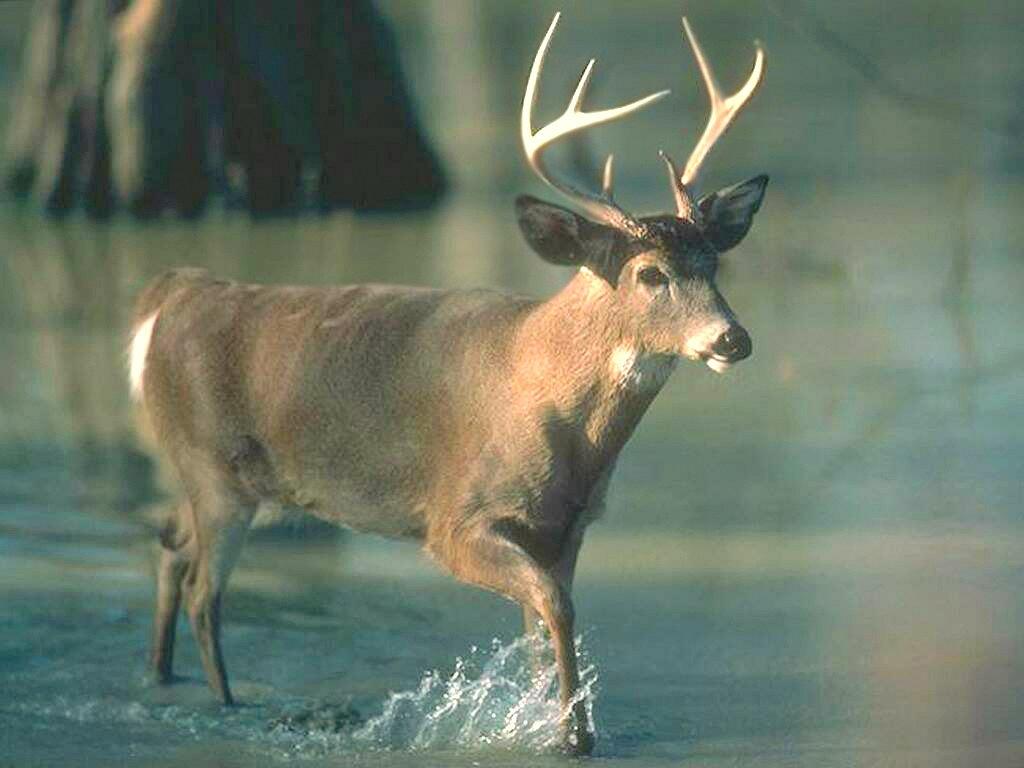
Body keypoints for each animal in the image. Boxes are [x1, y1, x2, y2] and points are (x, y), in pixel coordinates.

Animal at [127, 12, 767, 755]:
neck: (548, 401)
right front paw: (571, 737)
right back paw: (228, 706)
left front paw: (553, 724)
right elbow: (557, 608)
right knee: (203, 591)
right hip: (213, 472)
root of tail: (171, 295)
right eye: (650, 273)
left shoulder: (566, 529)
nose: (732, 339)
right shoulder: (453, 518)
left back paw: (162, 677)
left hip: (225, 479)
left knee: (170, 546)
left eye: (713, 262)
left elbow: (539, 630)